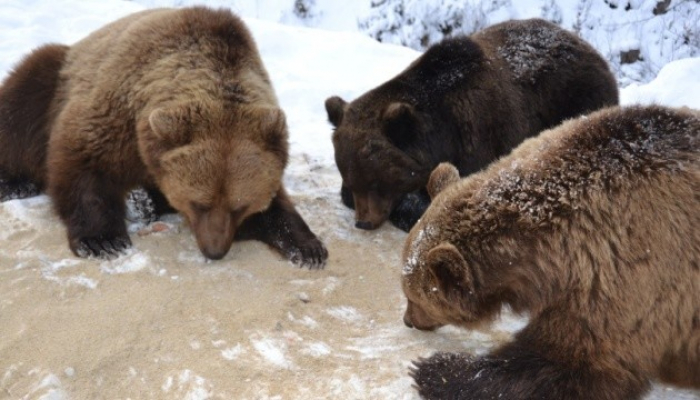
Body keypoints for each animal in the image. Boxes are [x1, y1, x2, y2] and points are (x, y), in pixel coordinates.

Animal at [0, 6, 328, 268]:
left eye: (240, 207)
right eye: (199, 203)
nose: (215, 250)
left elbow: (276, 206)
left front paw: (309, 247)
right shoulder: (116, 116)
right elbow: (83, 162)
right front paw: (103, 240)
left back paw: (144, 201)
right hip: (55, 76)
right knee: (23, 97)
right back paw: (14, 182)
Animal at [326, 18, 616, 231]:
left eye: (376, 182)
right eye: (351, 179)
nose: (364, 222)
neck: (441, 135)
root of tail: (590, 49)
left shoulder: (479, 137)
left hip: (576, 100)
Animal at [400, 106, 700, 400]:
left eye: (415, 297)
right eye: (408, 293)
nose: (408, 320)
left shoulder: (625, 271)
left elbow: (571, 359)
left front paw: (433, 369)